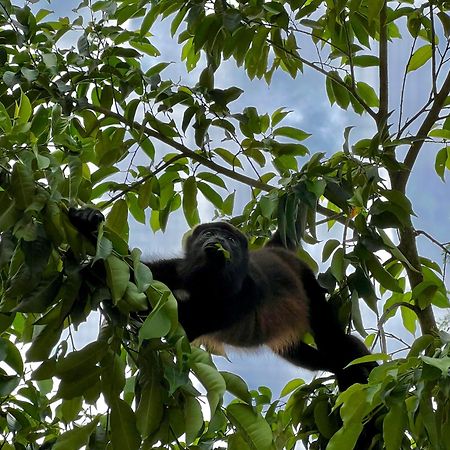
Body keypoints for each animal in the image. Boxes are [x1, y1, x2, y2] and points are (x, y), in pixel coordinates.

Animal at [67, 208, 376, 390]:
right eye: (210, 232)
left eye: (232, 239)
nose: (219, 240)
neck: (208, 281)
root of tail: (274, 251)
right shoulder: (177, 270)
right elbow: (137, 274)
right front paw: (89, 225)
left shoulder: (246, 293)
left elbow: (186, 323)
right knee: (307, 355)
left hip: (308, 282)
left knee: (336, 343)